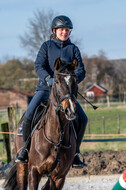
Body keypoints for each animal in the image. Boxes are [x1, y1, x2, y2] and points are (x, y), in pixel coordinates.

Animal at [3, 57, 79, 190]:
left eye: (75, 81)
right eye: (56, 81)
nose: (70, 109)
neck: (56, 138)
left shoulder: (59, 177)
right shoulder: (34, 172)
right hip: (22, 168)